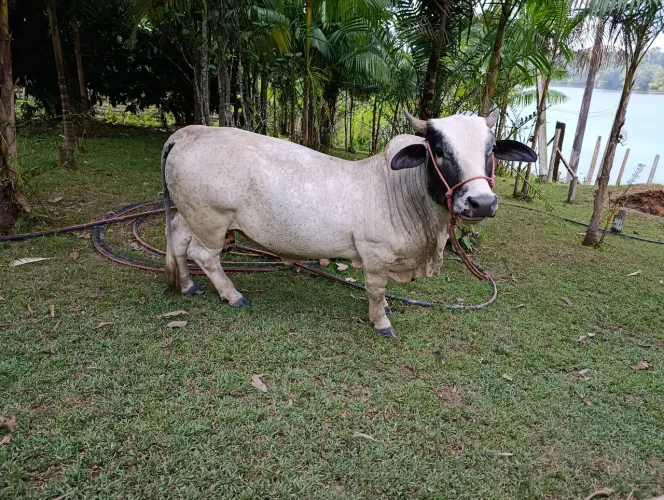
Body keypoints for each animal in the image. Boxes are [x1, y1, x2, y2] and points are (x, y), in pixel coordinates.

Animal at [161, 112, 536, 337]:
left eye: (492, 149)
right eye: (440, 150)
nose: (481, 202)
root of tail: (189, 133)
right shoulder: (375, 255)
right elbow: (376, 289)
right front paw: (381, 321)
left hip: (190, 213)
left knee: (176, 238)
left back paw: (187, 286)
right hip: (212, 219)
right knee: (204, 255)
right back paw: (233, 295)